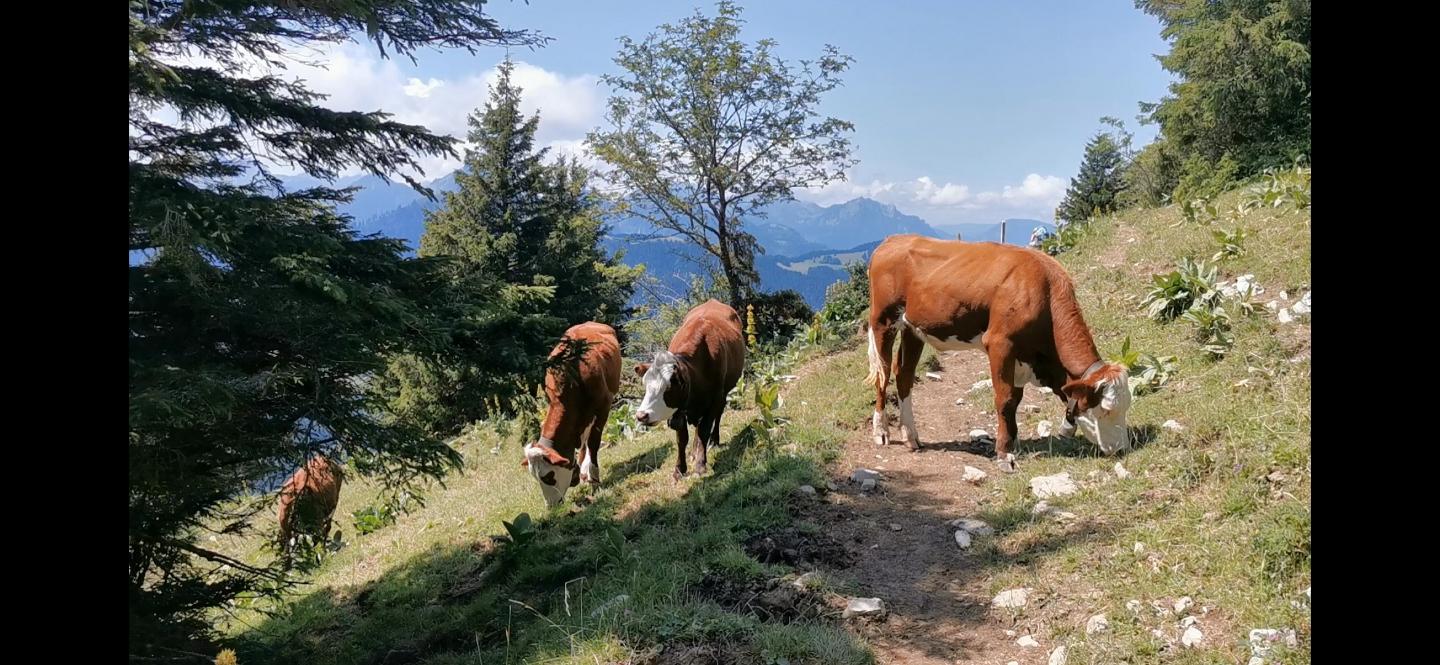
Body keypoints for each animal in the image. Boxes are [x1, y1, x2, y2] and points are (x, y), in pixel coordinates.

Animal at [527, 323, 622, 509]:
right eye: (534, 477)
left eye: (548, 476)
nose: (551, 506)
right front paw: (581, 471)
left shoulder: (603, 406)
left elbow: (593, 442)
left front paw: (594, 477)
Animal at [639, 299, 748, 480]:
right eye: (645, 385)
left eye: (668, 387)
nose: (641, 415)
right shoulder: (681, 410)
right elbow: (682, 438)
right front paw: (680, 469)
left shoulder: (715, 398)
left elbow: (704, 429)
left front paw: (700, 464)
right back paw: (694, 451)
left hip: (723, 395)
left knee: (716, 418)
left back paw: (713, 441)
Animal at [864, 236, 1134, 469]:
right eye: (1106, 409)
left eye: (1127, 407)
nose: (1122, 449)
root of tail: (893, 239)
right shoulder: (999, 344)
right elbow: (1004, 399)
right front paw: (1004, 454)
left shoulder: (1022, 356)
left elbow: (1016, 399)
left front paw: (1013, 442)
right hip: (882, 321)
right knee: (883, 374)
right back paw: (881, 432)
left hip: (913, 329)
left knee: (904, 375)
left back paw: (910, 435)